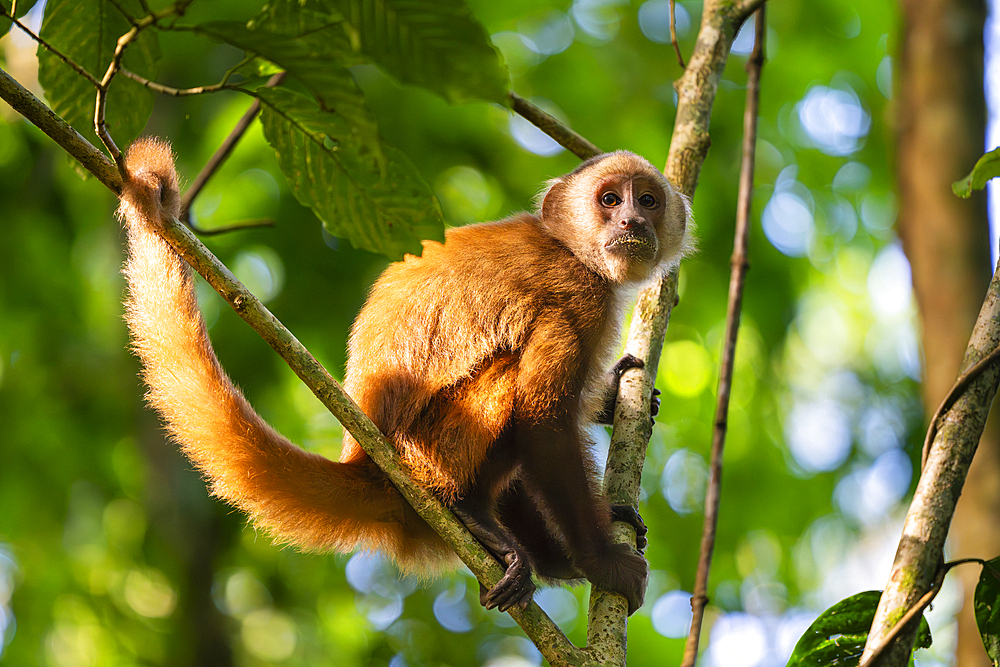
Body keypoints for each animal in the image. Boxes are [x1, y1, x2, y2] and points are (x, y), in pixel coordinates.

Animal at [119, 138, 696, 620]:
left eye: (647, 200)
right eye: (609, 200)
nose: (632, 221)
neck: (570, 248)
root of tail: (367, 463)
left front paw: (615, 399)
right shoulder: (576, 294)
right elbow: (544, 426)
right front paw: (602, 564)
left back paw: (547, 556)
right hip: (430, 450)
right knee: (513, 376)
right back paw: (471, 513)